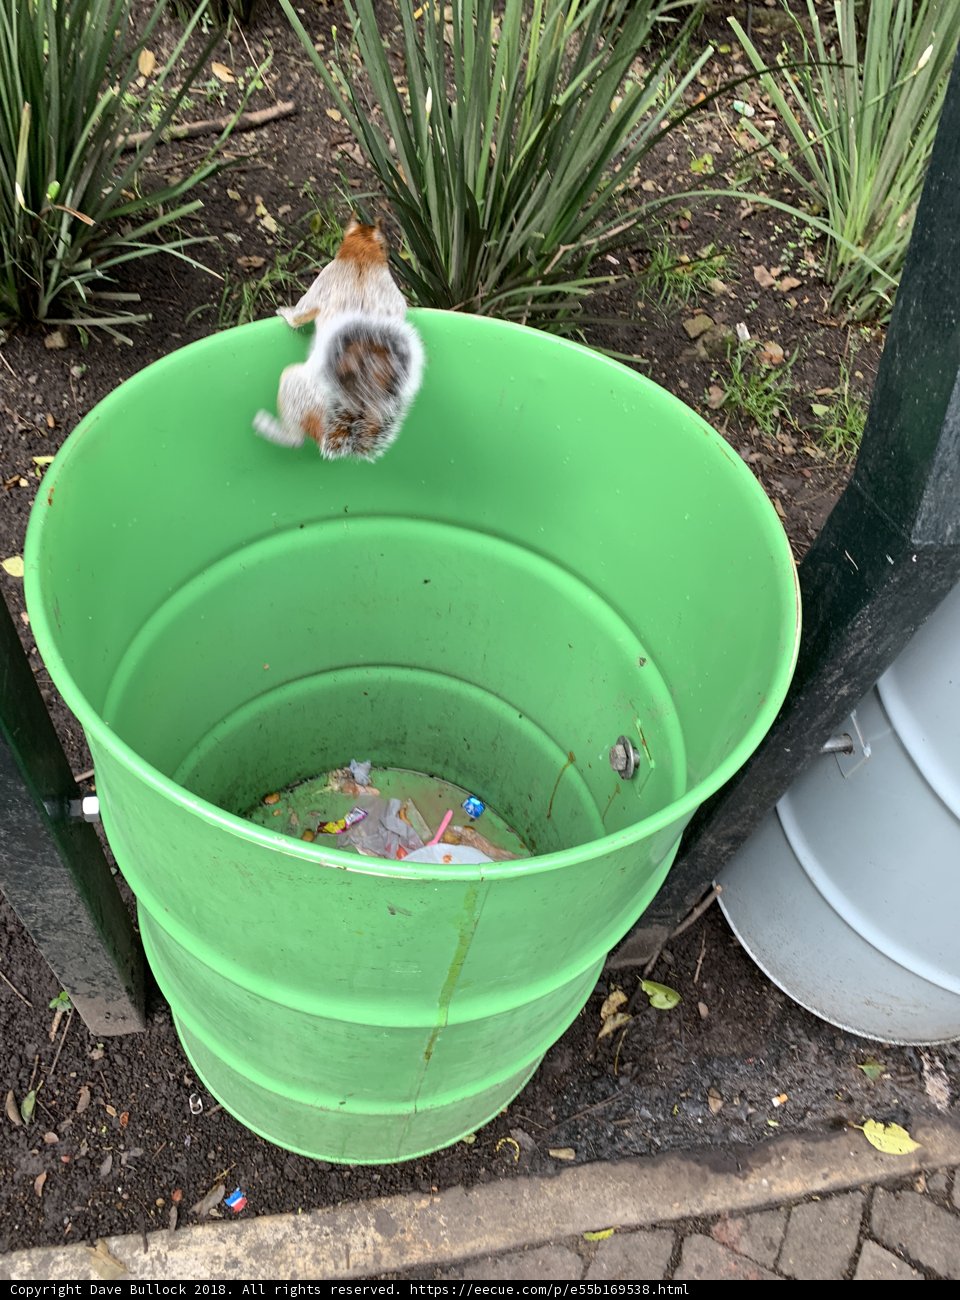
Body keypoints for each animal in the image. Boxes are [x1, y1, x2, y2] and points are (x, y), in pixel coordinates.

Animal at [253, 219, 425, 462]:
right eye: (385, 245)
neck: (361, 256)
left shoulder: (321, 284)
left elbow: (299, 314)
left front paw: (284, 312)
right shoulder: (394, 296)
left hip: (293, 385)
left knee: (297, 439)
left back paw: (269, 427)